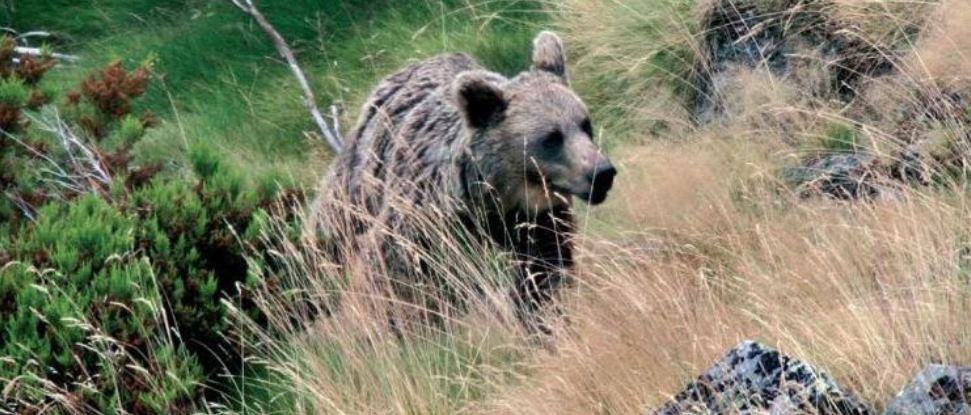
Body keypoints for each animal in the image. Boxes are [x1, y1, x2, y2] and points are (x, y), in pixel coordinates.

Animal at [311, 31, 617, 332]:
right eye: (552, 137)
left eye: (584, 123)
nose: (601, 173)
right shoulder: (423, 225)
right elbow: (396, 277)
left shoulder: (538, 224)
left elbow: (542, 274)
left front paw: (544, 320)